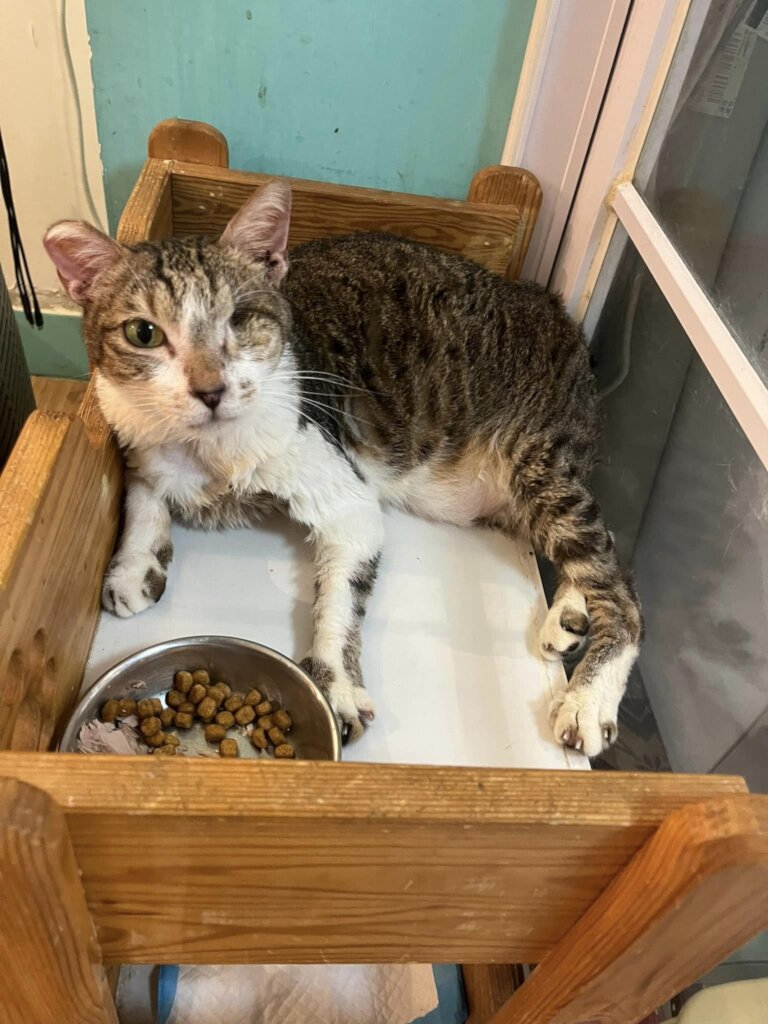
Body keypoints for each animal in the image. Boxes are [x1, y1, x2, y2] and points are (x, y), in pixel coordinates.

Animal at [44, 180, 642, 756]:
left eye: (239, 319)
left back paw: (589, 698)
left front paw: (333, 687)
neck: (206, 449)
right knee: (606, 546)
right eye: (143, 333)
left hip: (535, 464)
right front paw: (132, 565)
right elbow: (142, 488)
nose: (209, 389)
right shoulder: (131, 432)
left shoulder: (347, 502)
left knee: (620, 590)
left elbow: (337, 600)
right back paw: (571, 614)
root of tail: (558, 311)